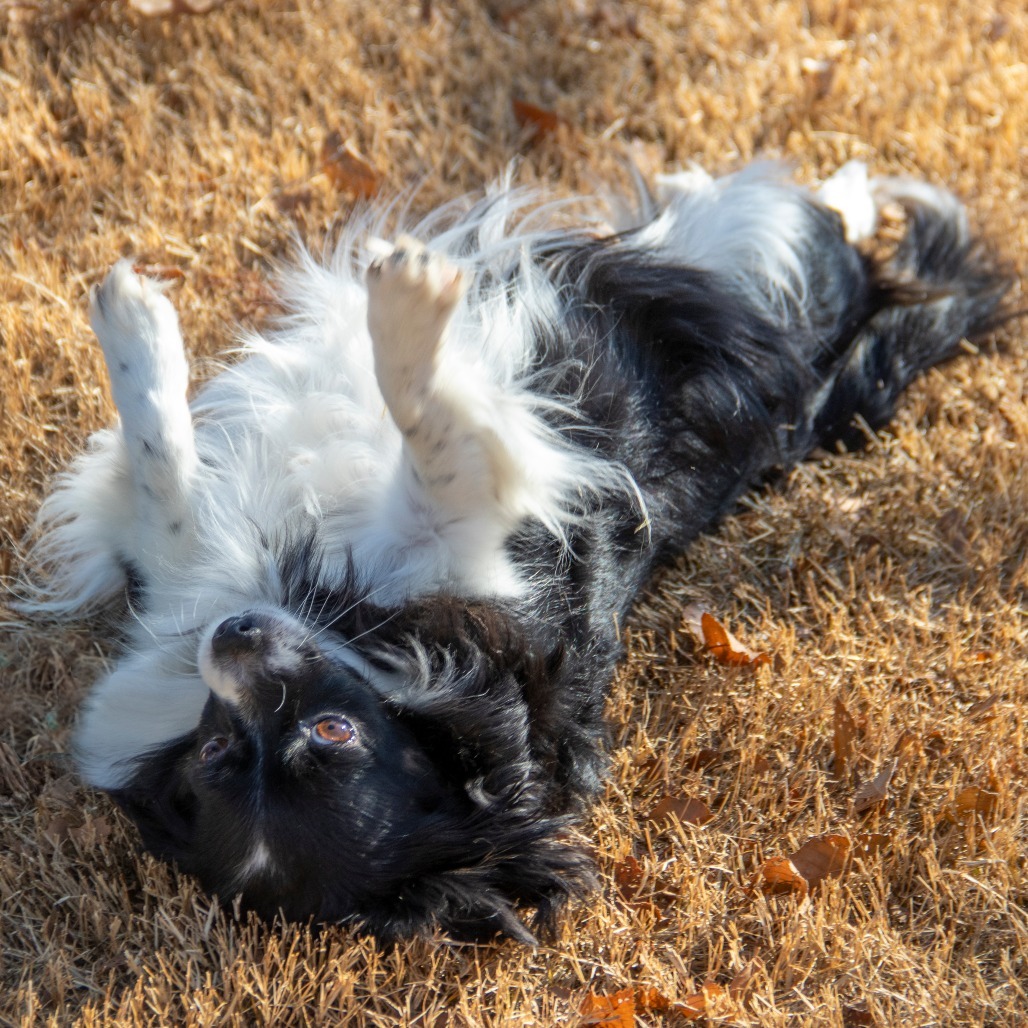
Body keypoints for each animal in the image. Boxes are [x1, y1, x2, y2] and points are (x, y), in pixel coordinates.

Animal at [28, 162, 1007, 945]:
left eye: (332, 731)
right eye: (216, 755)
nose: (232, 640)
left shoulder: (465, 530)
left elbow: (424, 437)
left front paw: (397, 309)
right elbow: (171, 481)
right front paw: (141, 325)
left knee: (802, 228)